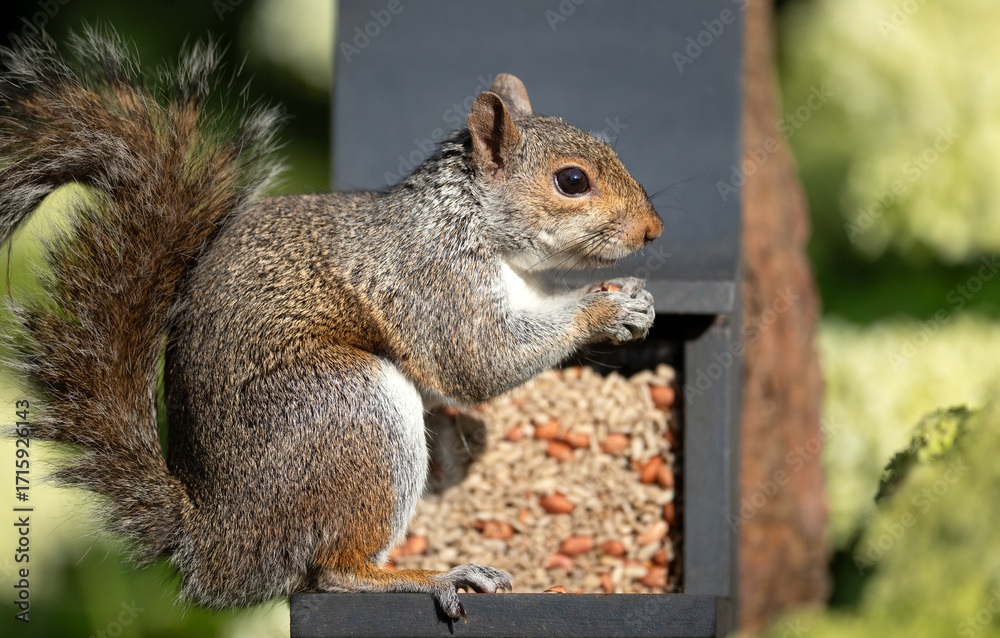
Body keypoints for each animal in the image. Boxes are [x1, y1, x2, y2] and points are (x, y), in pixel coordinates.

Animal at [0, 29, 662, 619]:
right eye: (571, 180)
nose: (652, 230)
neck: (474, 223)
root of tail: (217, 544)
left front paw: (632, 297)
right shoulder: (432, 280)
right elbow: (479, 360)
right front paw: (606, 309)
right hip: (352, 409)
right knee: (334, 571)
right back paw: (433, 574)